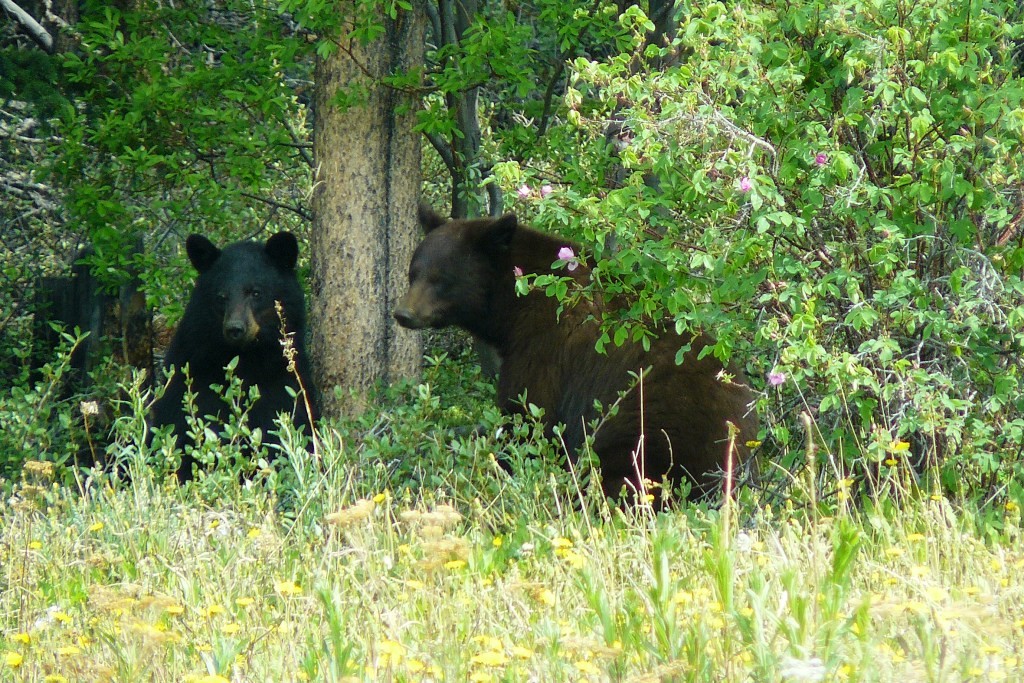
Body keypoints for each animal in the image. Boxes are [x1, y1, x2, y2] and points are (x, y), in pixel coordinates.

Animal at [149, 232, 316, 482]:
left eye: (256, 292)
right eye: (221, 296)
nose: (235, 329)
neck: (245, 359)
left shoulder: (284, 383)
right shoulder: (192, 376)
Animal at [394, 205, 758, 504]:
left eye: (441, 279)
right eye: (413, 272)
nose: (403, 314)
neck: (516, 302)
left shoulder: (544, 350)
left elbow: (528, 417)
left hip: (650, 435)